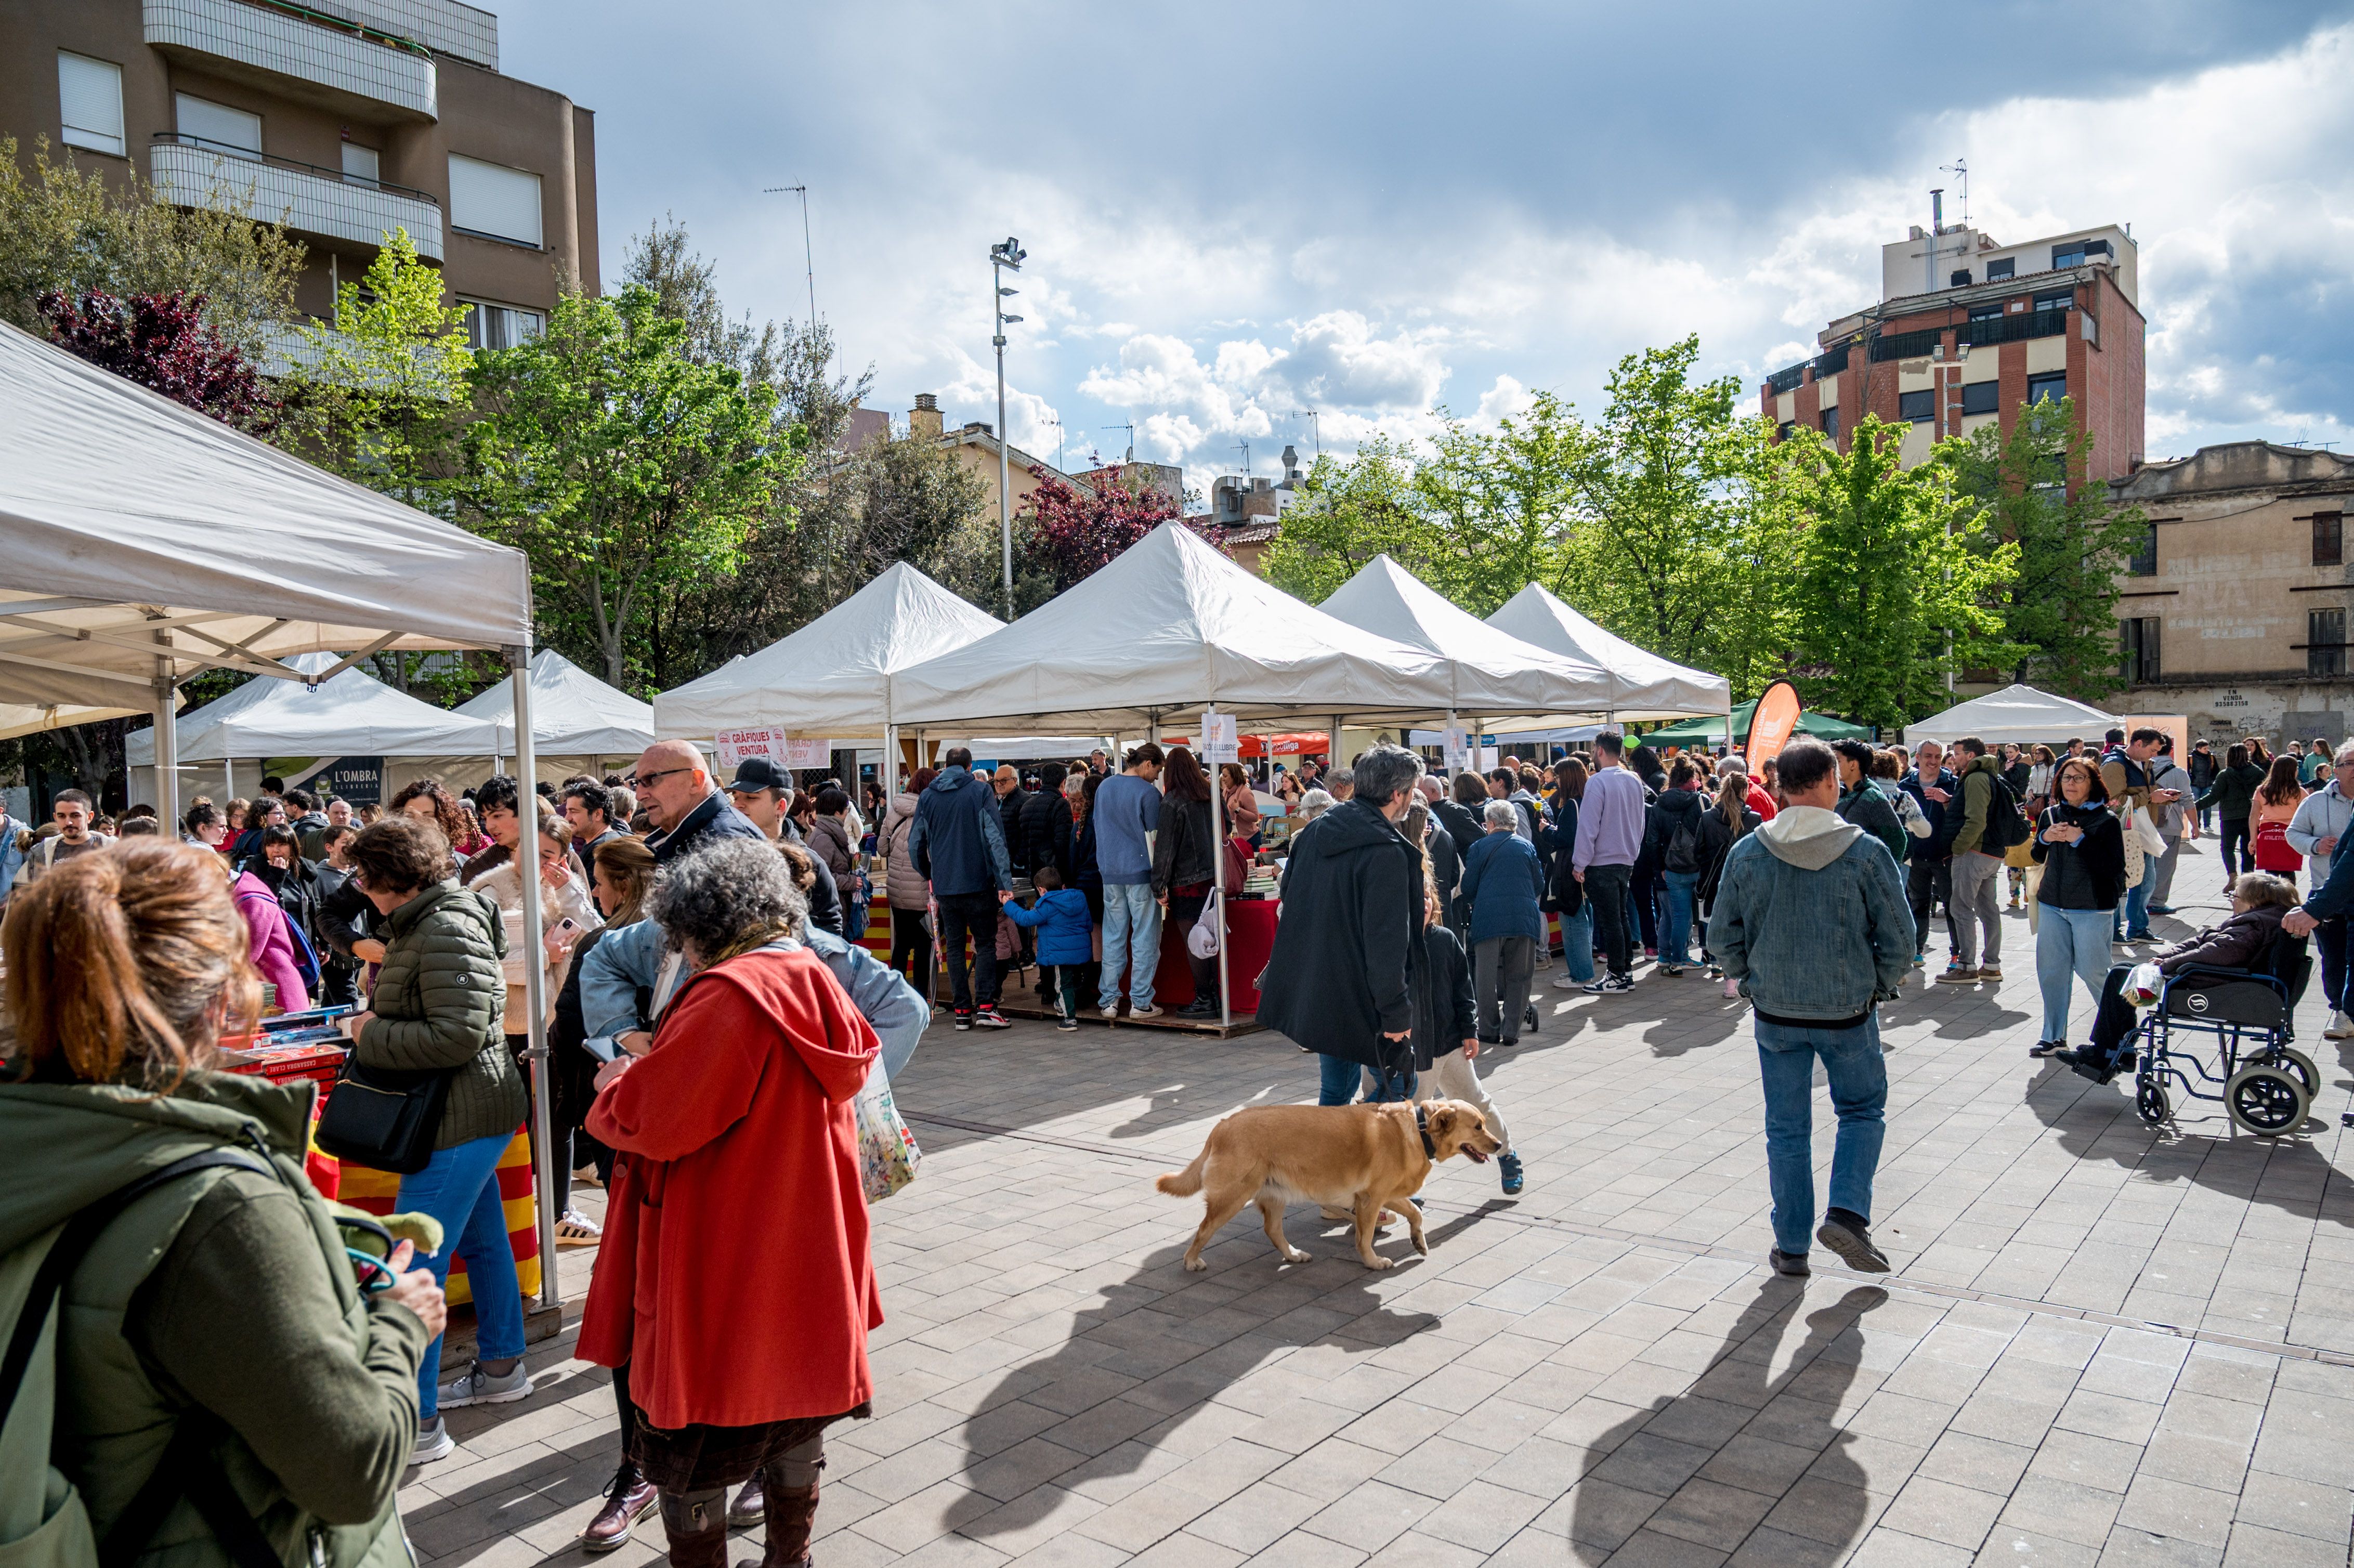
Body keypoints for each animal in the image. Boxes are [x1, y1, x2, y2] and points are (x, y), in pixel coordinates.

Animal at [1158, 1092, 1506, 1262]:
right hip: (1232, 1197)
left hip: (1276, 1194)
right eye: (1478, 1126)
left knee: (1273, 1230)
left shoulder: (1387, 1195)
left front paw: (1418, 1242)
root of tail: (1222, 1125)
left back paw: (1293, 1255)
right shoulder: (1370, 1201)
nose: (1500, 1145)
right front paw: (1373, 1262)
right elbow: (1364, 1237)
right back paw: (1191, 1261)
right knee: (1204, 1230)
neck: (1420, 1130)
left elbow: (1416, 1213)